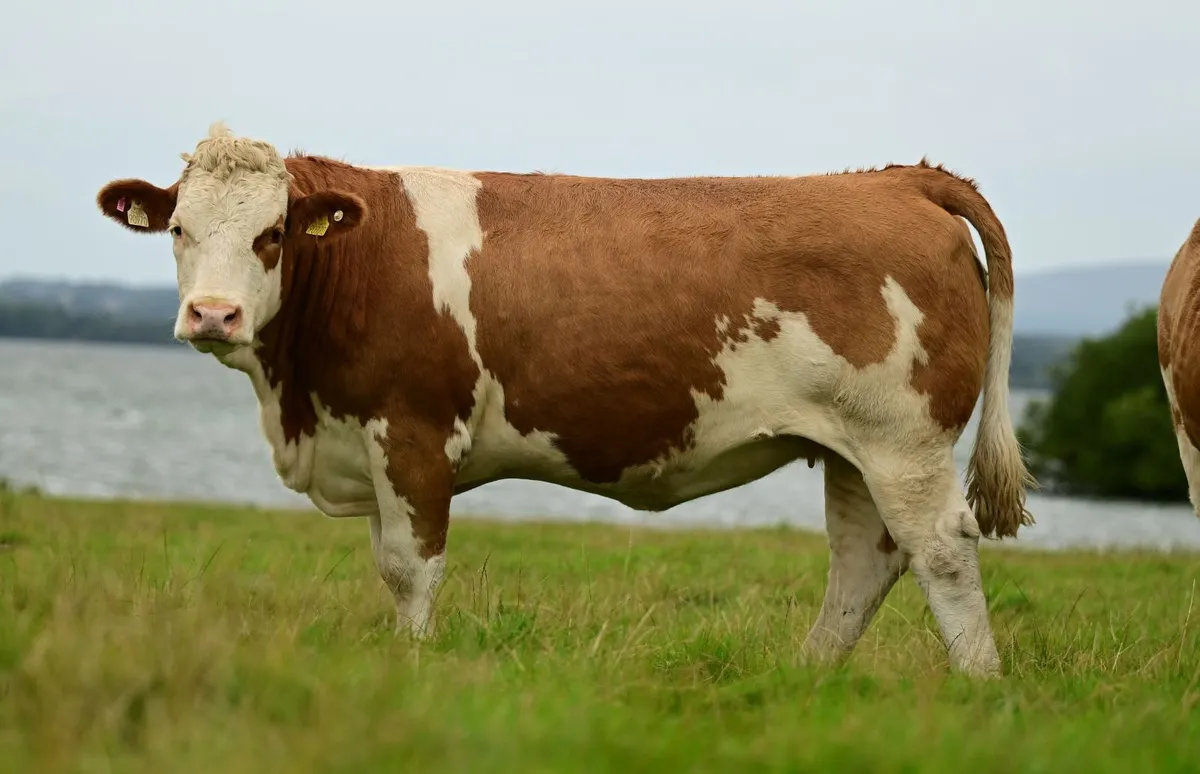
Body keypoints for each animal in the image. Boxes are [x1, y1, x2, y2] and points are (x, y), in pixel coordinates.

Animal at [95, 122, 1035, 677]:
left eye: (274, 234)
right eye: (178, 228)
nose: (212, 314)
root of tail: (894, 178)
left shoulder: (412, 432)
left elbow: (409, 566)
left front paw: (413, 665)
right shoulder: (363, 438)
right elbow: (388, 563)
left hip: (902, 438)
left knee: (941, 551)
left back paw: (980, 684)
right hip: (851, 446)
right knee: (864, 559)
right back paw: (806, 676)